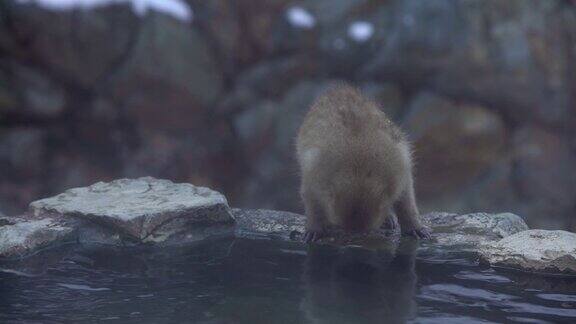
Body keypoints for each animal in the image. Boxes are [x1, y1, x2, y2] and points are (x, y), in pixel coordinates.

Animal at [300, 82, 430, 242]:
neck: (359, 171)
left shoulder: (398, 166)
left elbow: (405, 195)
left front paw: (413, 226)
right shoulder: (316, 171)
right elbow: (311, 196)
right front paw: (315, 228)